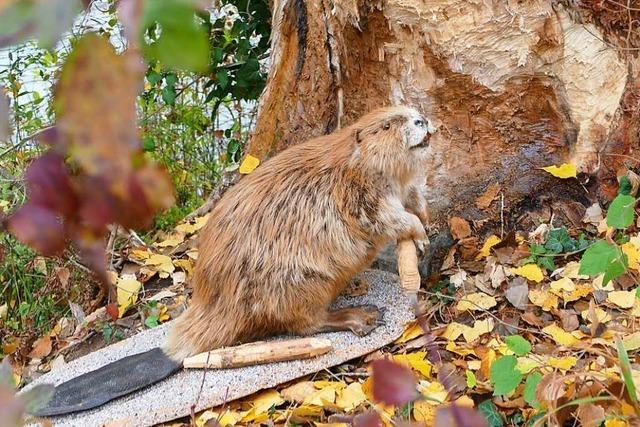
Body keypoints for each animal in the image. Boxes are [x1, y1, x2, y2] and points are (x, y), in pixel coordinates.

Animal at [33, 105, 436, 416]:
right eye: (388, 125)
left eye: (410, 112)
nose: (422, 119)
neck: (352, 161)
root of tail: (174, 351)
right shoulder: (357, 194)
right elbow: (386, 219)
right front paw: (419, 233)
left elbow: (414, 198)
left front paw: (426, 221)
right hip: (299, 284)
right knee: (304, 324)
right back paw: (361, 315)